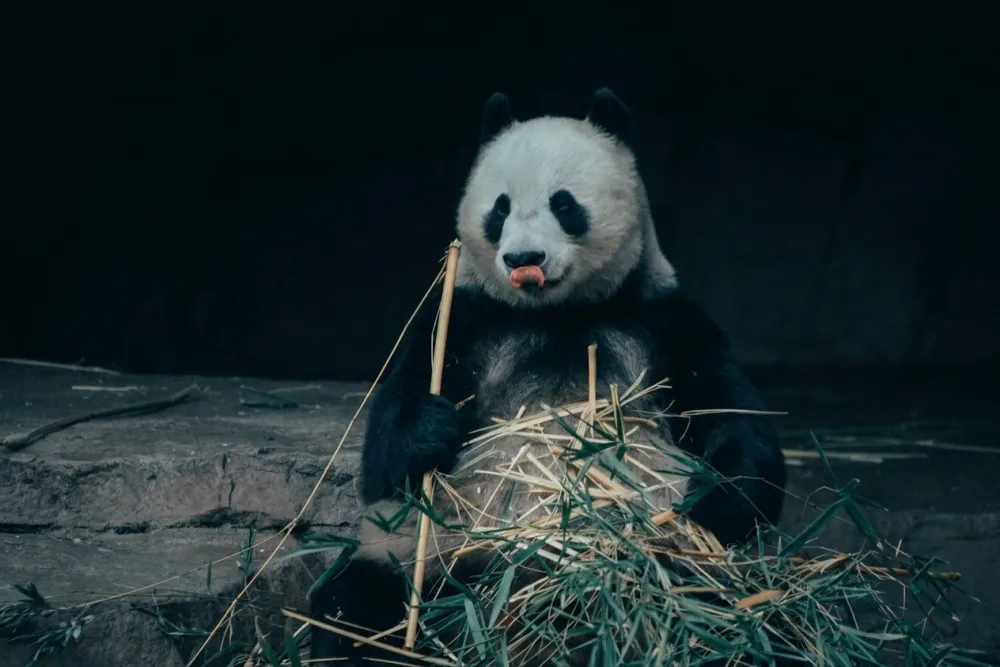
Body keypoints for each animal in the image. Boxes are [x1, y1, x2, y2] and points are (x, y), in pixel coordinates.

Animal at [309, 88, 788, 666]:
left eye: (564, 204)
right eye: (500, 208)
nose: (524, 258)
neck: (557, 313)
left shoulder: (664, 321)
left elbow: (737, 425)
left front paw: (706, 494)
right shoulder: (462, 320)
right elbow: (383, 456)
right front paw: (431, 427)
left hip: (696, 575)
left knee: (749, 619)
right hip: (429, 555)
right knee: (355, 606)